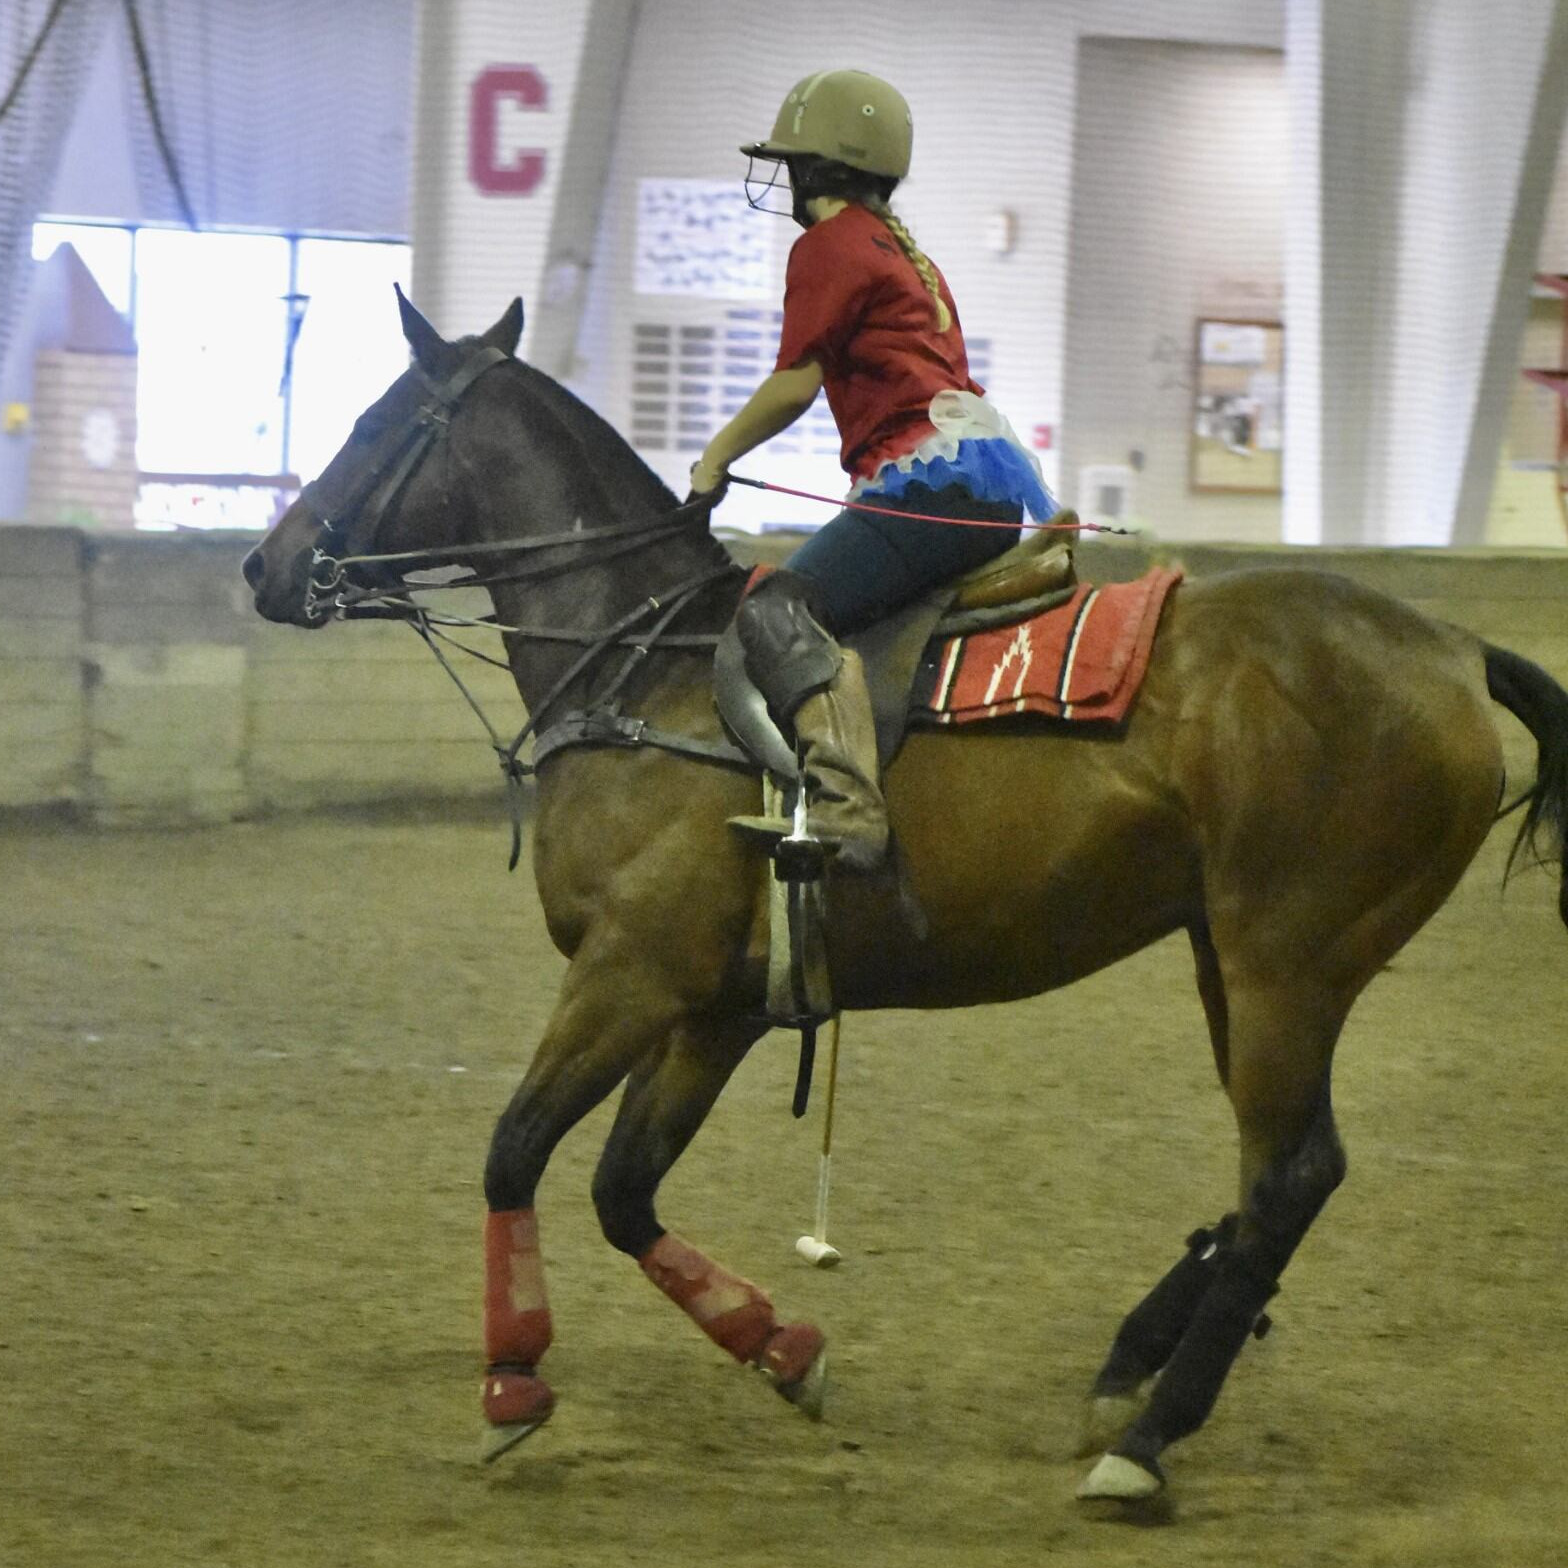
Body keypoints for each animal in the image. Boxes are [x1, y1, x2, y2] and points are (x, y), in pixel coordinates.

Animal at [235, 288, 1568, 1499]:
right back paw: (1131, 1364)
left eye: (377, 420)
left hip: (1285, 959)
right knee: (1270, 1177)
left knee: (1289, 1174)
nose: (265, 563)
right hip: (1228, 955)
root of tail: (1455, 652)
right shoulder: (714, 1007)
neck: (645, 669)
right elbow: (623, 1190)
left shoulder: (629, 972)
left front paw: (512, 1382)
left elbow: (513, 1152)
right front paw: (783, 1349)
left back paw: (1144, 1437)